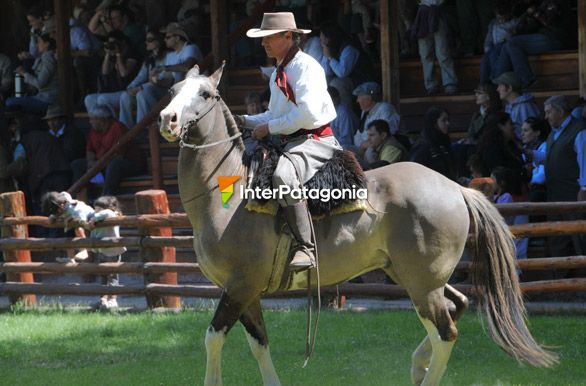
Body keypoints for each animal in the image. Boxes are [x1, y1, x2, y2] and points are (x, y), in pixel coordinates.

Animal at [157, 64, 556, 386]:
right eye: (173, 90)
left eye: (205, 94)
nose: (168, 119)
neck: (231, 192)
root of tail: (456, 188)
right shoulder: (247, 291)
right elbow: (259, 344)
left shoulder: (239, 286)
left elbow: (213, 338)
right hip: (413, 275)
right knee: (457, 305)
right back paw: (417, 366)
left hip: (422, 283)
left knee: (445, 332)